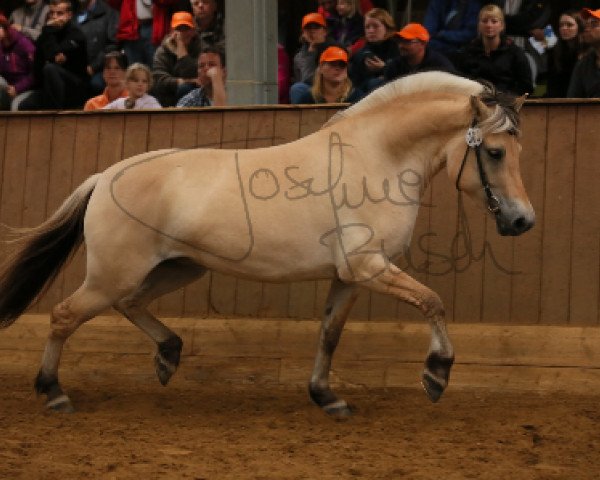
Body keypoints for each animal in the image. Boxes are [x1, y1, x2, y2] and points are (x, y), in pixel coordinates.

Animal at [0, 72, 536, 416]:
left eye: (518, 150)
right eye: (494, 152)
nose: (522, 220)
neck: (375, 156)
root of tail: (105, 177)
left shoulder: (350, 276)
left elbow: (330, 334)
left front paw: (326, 397)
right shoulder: (369, 266)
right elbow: (433, 301)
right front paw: (436, 374)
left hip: (176, 267)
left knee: (130, 305)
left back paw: (168, 356)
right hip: (115, 274)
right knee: (64, 316)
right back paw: (54, 393)